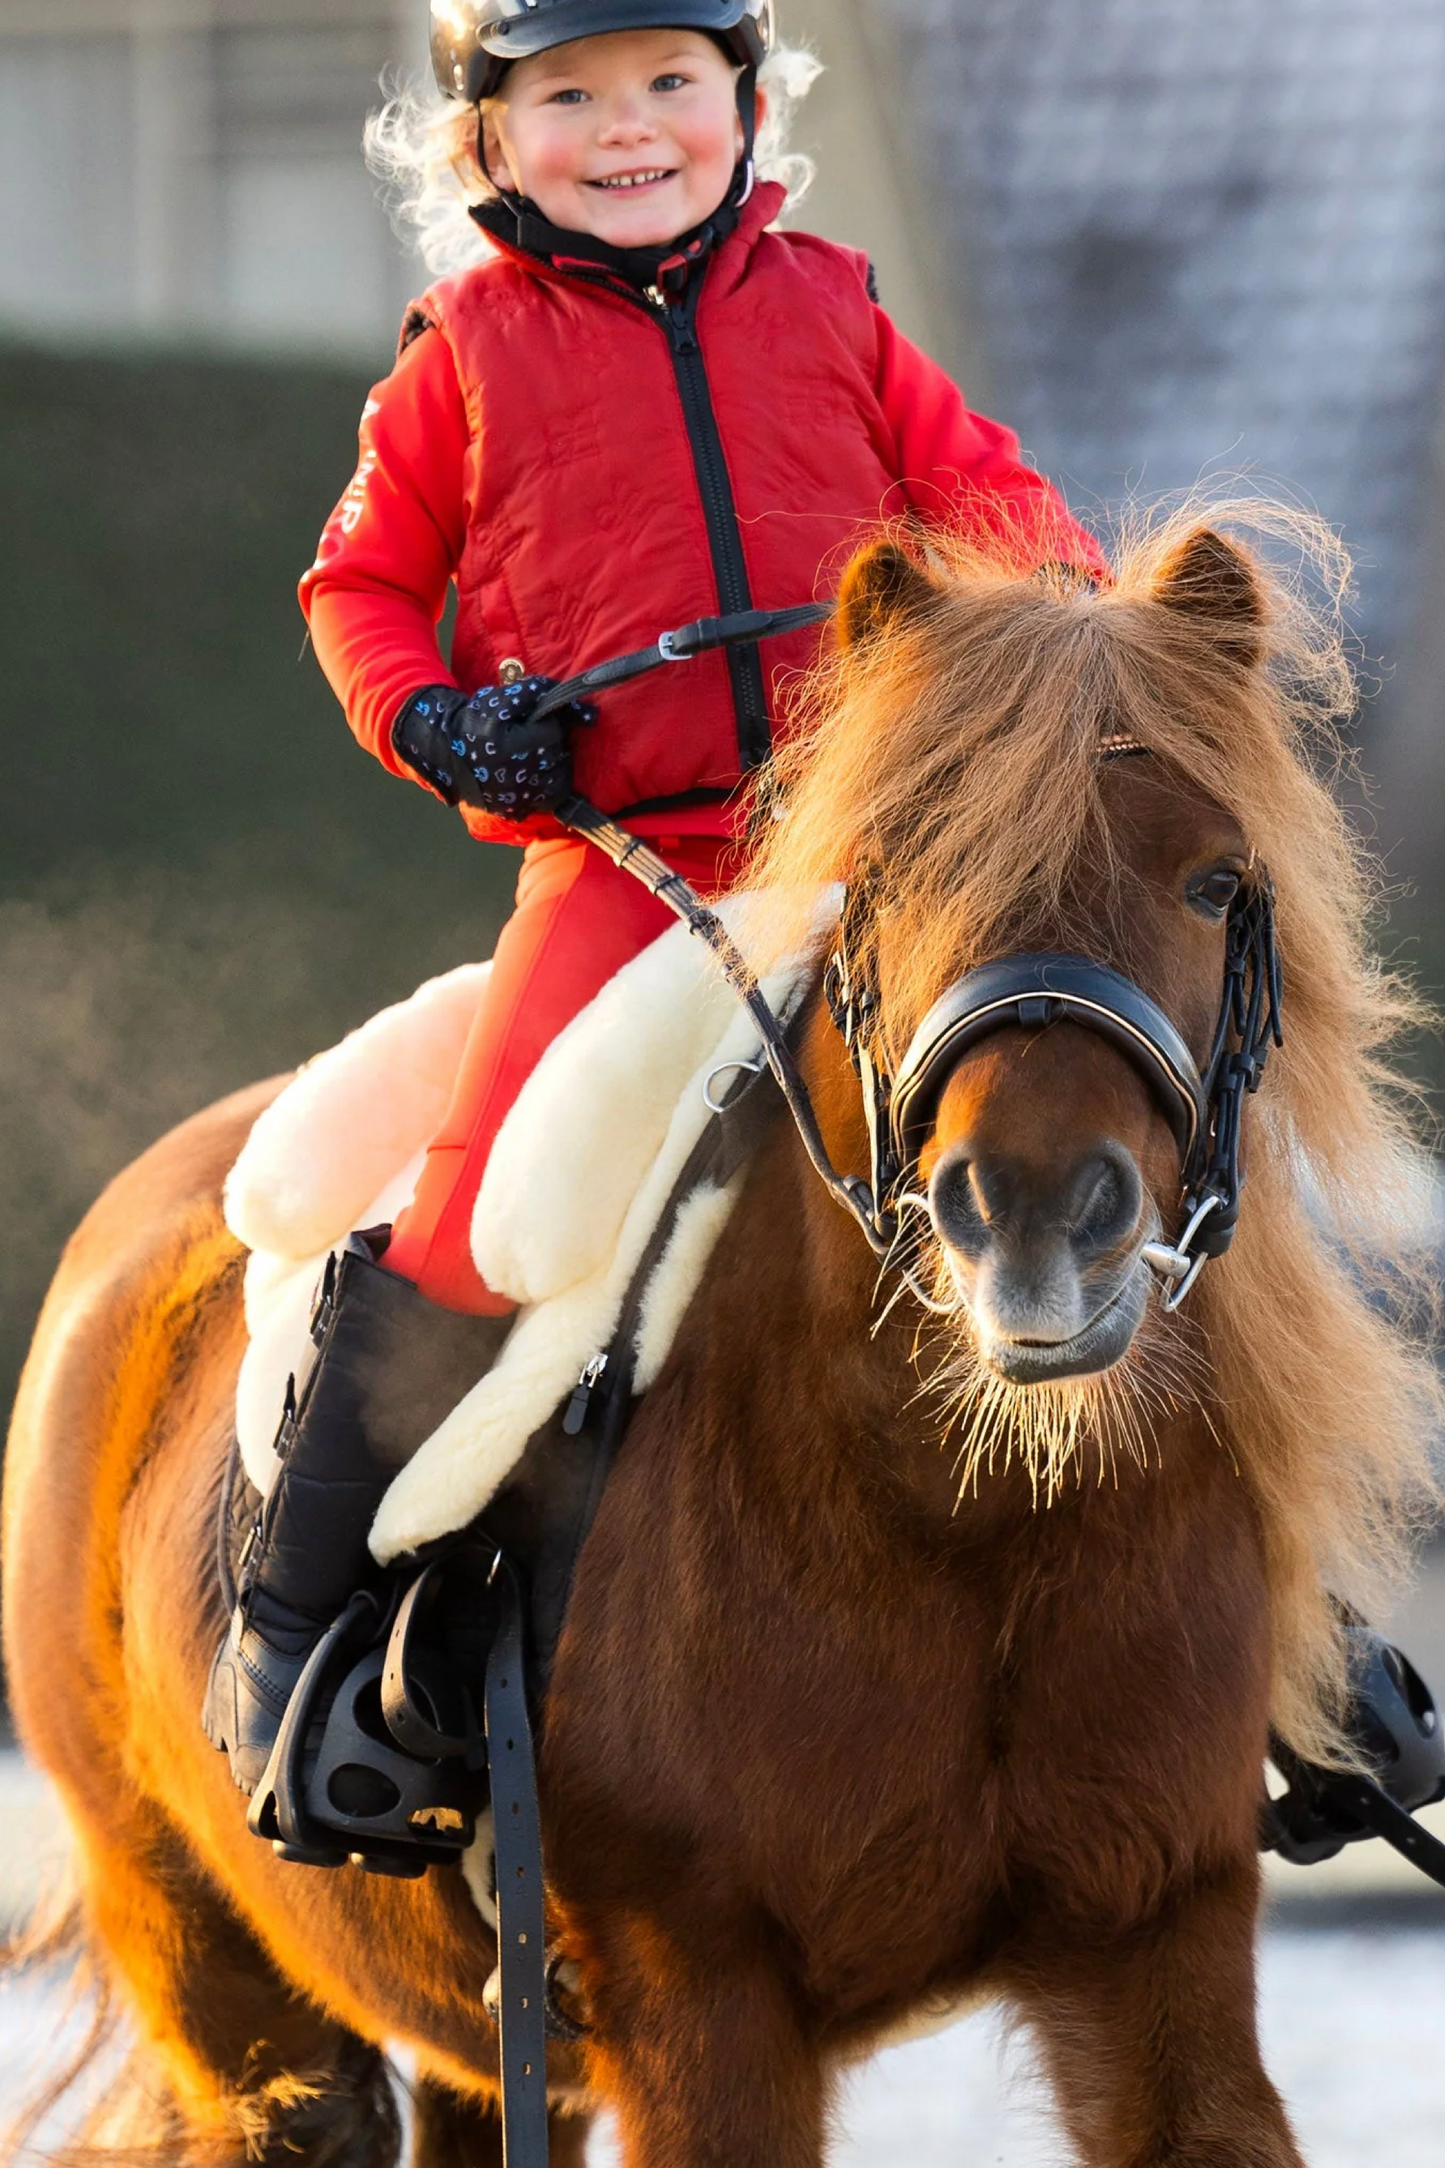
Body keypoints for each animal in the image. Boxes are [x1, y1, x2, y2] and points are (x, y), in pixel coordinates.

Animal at [5, 520, 1438, 2168]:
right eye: (889, 871)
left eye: (1213, 881)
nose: (1029, 1217)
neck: (959, 1521)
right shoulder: (700, 1998)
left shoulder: (1158, 1951)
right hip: (232, 2000)